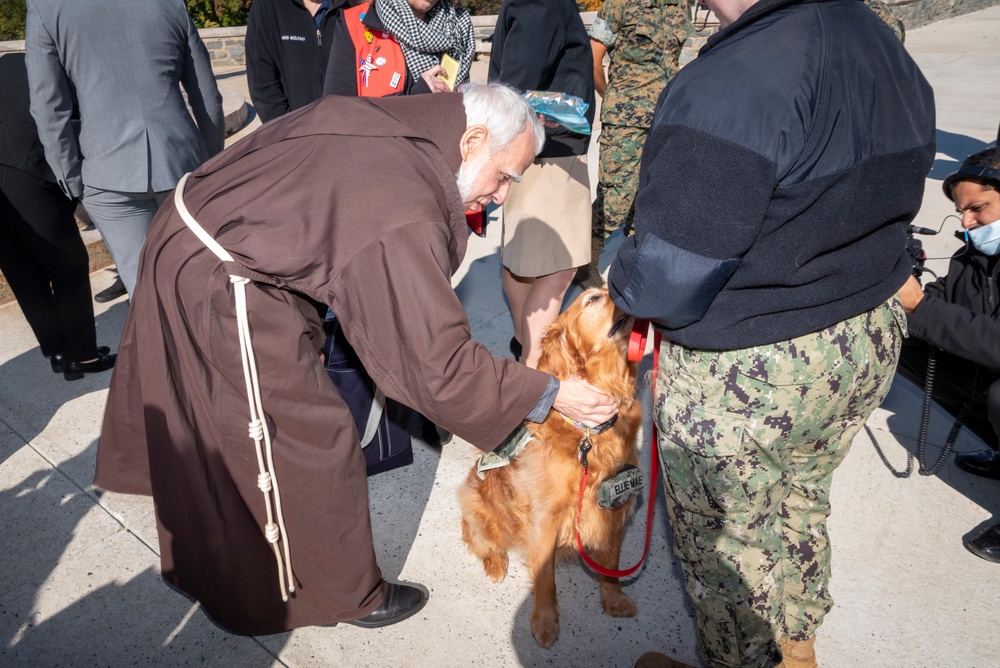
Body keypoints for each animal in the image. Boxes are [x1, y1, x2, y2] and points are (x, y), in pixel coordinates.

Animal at [458, 288, 640, 648]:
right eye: (593, 299)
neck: (588, 435)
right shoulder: (544, 521)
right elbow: (545, 581)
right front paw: (544, 622)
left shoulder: (615, 508)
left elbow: (612, 565)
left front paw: (613, 600)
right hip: (477, 504)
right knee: (477, 537)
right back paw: (495, 563)